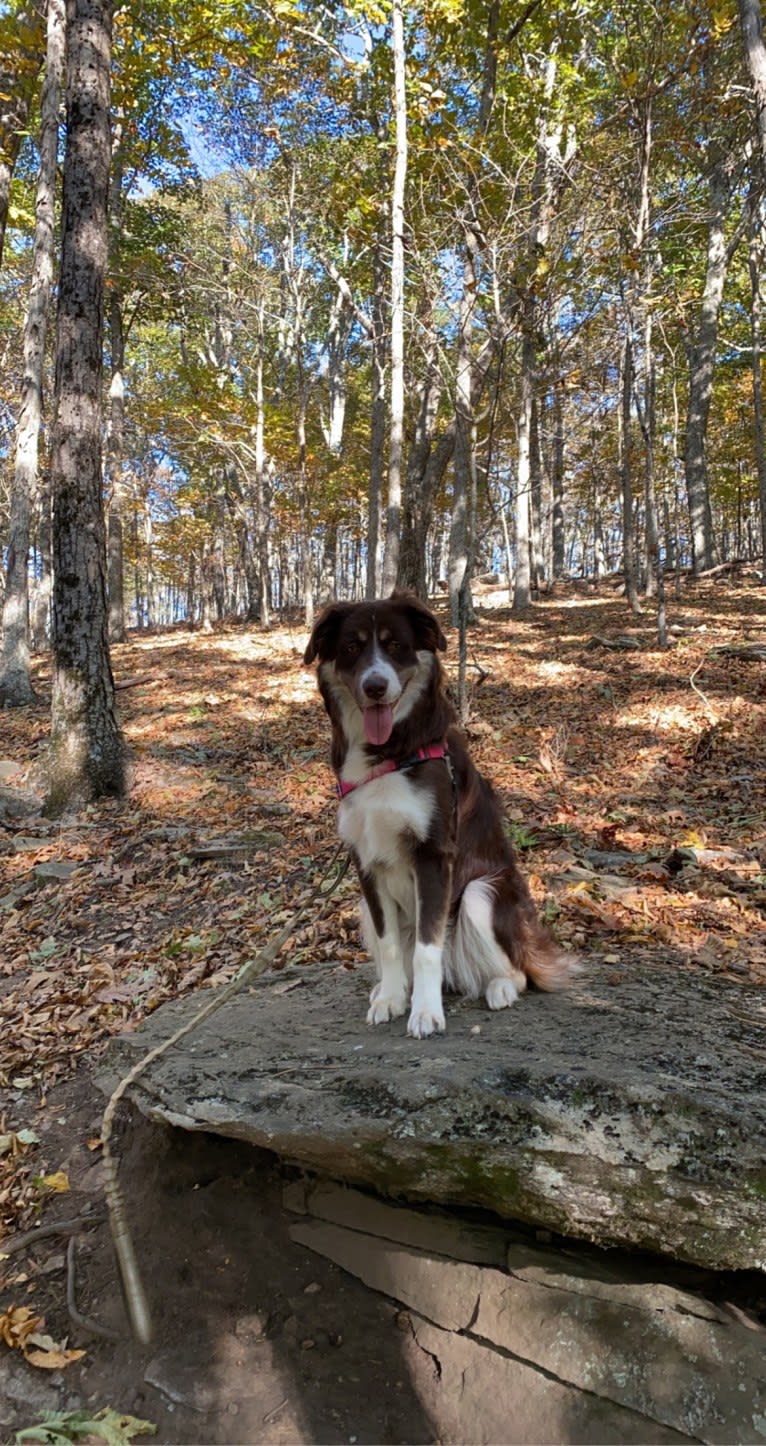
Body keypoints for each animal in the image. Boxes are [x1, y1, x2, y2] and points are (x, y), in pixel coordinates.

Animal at [303, 592, 572, 1035]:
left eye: (396, 645)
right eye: (351, 649)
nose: (375, 686)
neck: (391, 755)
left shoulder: (432, 855)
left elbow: (427, 949)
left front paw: (426, 1011)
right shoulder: (367, 864)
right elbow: (392, 947)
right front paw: (392, 999)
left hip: (481, 894)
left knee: (516, 971)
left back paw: (499, 987)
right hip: (364, 906)